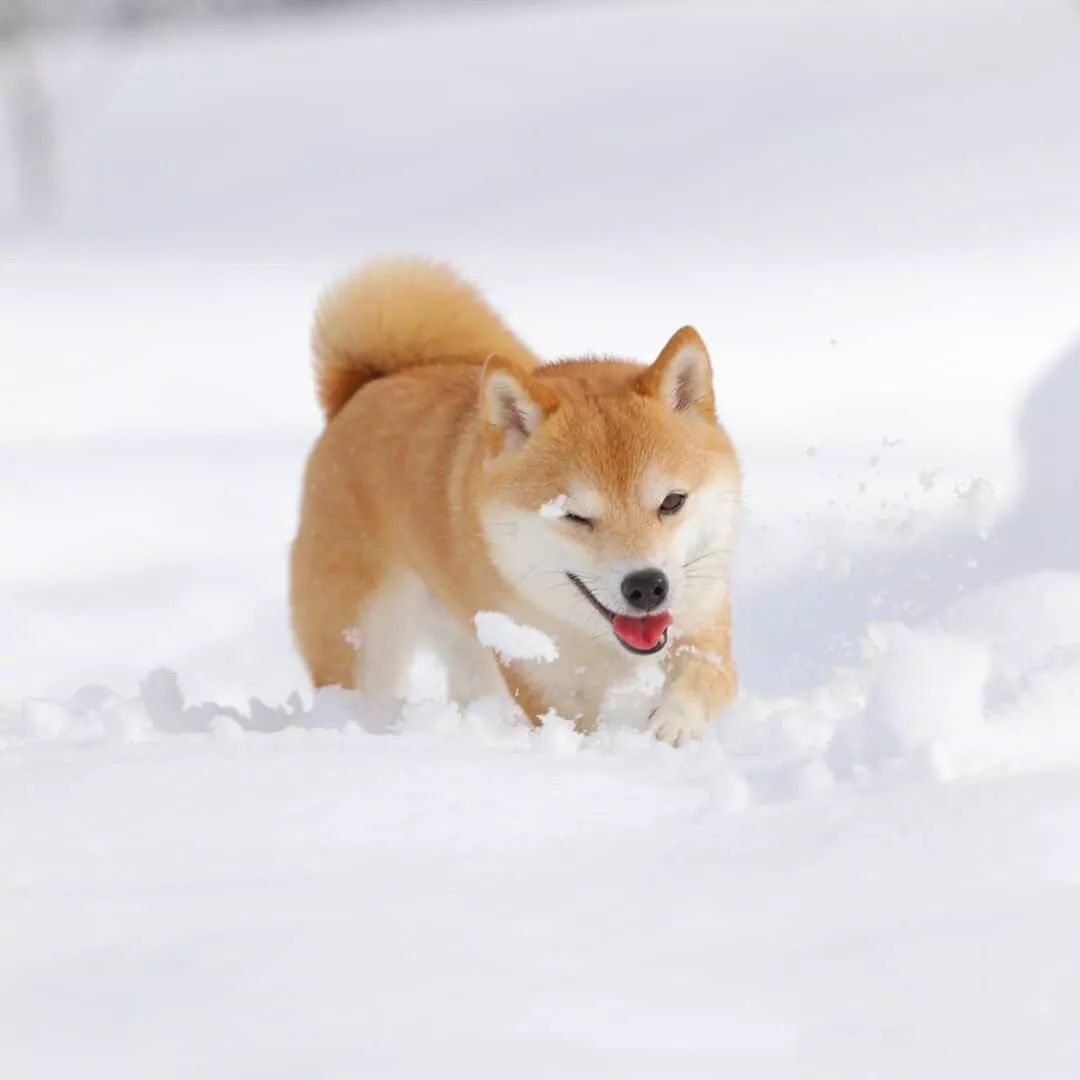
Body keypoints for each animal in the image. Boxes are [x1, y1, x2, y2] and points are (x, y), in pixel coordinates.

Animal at [291, 255, 738, 743]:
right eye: (575, 516)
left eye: (672, 501)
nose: (646, 587)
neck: (595, 635)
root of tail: (365, 388)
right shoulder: (545, 681)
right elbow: (574, 729)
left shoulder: (701, 618)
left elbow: (703, 678)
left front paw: (670, 725)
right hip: (366, 645)